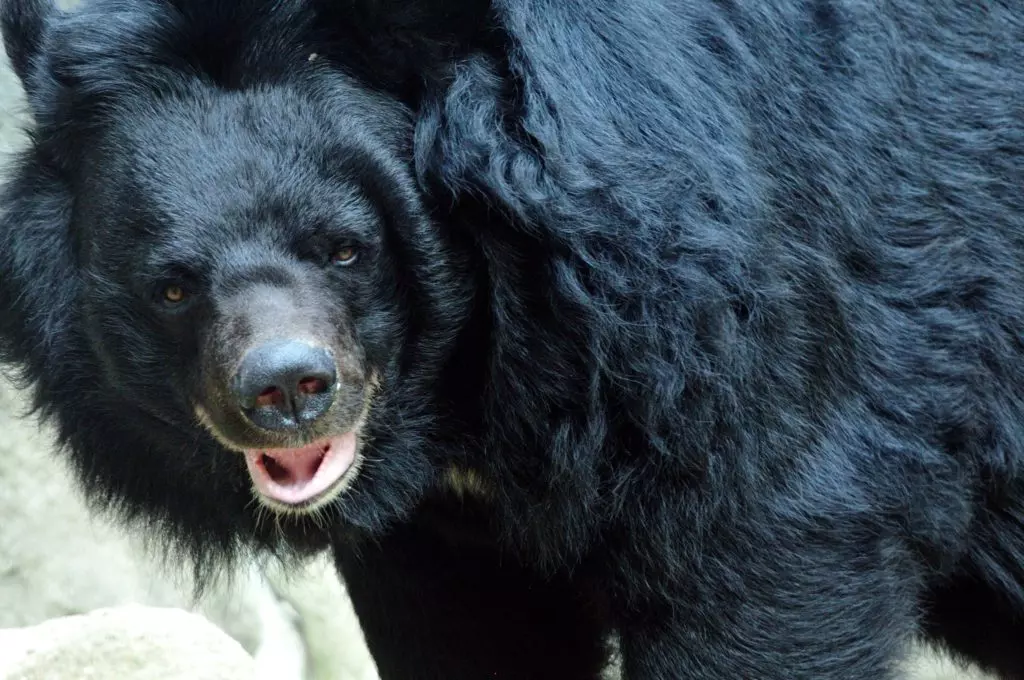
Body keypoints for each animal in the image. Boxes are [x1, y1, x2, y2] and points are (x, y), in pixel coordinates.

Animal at [2, 0, 1024, 675]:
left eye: (345, 247)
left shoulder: (751, 328)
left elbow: (770, 550)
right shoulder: (446, 535)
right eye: (172, 286)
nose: (286, 389)